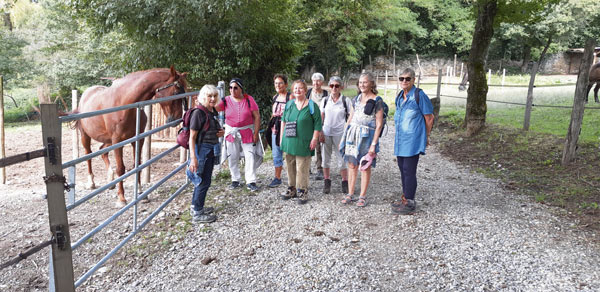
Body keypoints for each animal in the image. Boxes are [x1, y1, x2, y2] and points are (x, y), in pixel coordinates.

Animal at [75, 67, 188, 206]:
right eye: (176, 91)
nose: (177, 119)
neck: (125, 103)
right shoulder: (117, 141)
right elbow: (121, 169)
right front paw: (121, 199)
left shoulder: (137, 140)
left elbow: (137, 165)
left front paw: (140, 193)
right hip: (86, 136)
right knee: (88, 155)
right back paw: (91, 182)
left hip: (108, 140)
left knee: (102, 151)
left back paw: (110, 179)